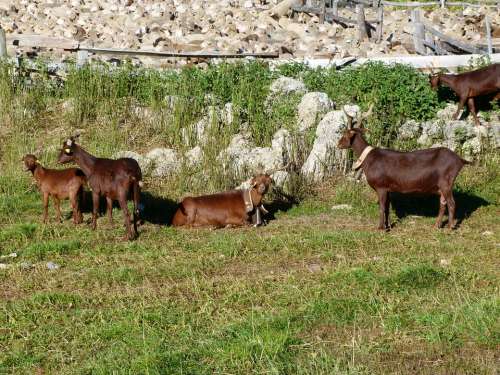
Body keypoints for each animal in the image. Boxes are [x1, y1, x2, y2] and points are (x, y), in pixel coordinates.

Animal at [338, 104, 470, 231]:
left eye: (344, 134)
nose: (338, 144)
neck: (368, 160)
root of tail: (461, 160)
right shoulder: (388, 188)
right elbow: (387, 207)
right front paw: (388, 226)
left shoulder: (381, 186)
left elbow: (382, 207)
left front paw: (380, 228)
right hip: (442, 185)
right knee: (443, 202)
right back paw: (436, 225)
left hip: (446, 181)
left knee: (451, 203)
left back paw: (450, 227)